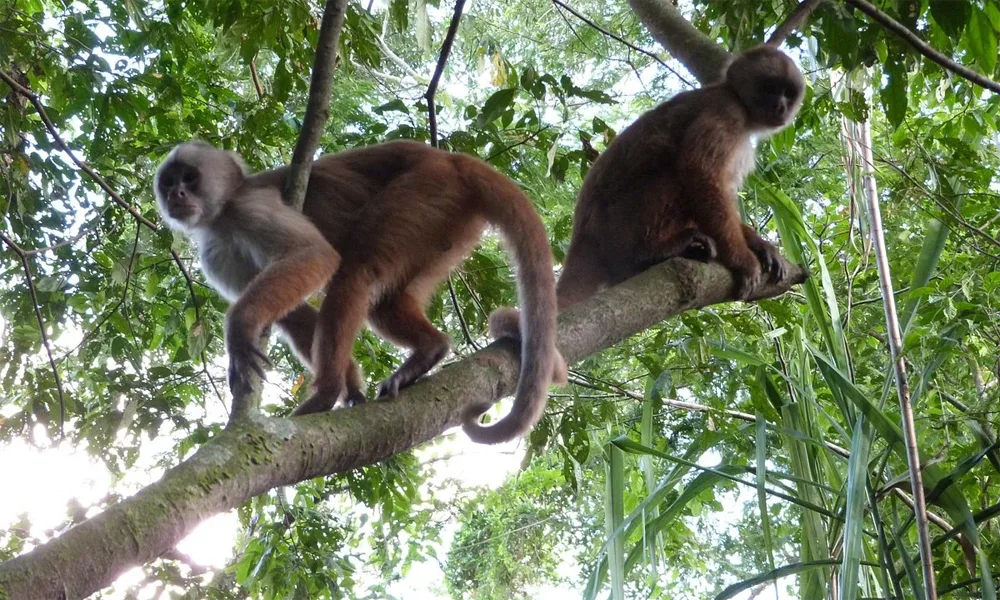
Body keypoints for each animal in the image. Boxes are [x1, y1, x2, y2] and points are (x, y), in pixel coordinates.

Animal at [155, 139, 565, 444]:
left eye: (189, 177)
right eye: (168, 182)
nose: (177, 194)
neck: (222, 216)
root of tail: (449, 158)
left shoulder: (250, 207)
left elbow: (316, 257)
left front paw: (239, 327)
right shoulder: (217, 253)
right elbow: (296, 314)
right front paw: (351, 384)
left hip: (426, 190)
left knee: (354, 272)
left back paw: (326, 390)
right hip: (444, 224)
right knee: (382, 302)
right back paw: (429, 350)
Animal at [555, 45, 805, 310]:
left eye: (788, 93)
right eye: (770, 89)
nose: (780, 106)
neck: (737, 101)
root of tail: (582, 236)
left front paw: (759, 245)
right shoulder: (726, 110)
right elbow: (700, 174)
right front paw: (743, 260)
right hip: (615, 225)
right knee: (675, 173)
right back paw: (650, 253)